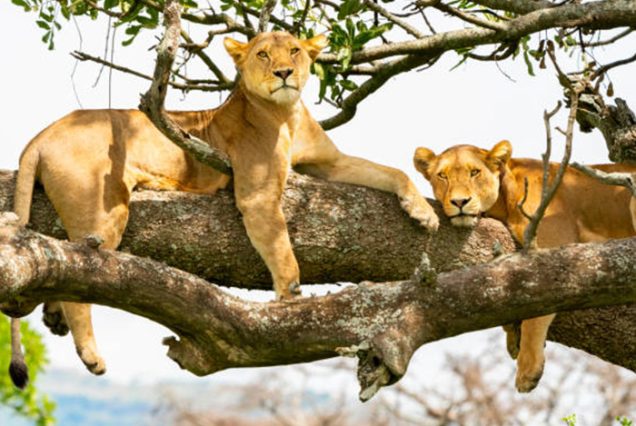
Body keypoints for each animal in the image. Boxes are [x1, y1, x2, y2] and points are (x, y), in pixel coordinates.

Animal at [6, 31, 442, 388]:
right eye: (263, 54)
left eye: (295, 51)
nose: (284, 73)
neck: (287, 113)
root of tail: (41, 136)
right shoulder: (257, 195)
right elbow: (284, 255)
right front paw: (291, 304)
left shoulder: (330, 162)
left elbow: (393, 171)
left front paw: (424, 212)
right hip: (104, 210)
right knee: (80, 277)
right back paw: (90, 354)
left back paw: (54, 317)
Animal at [414, 140, 632, 392]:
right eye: (442, 175)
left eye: (474, 172)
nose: (459, 202)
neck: (506, 199)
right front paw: (511, 336)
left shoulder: (551, 250)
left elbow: (535, 316)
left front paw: (528, 369)